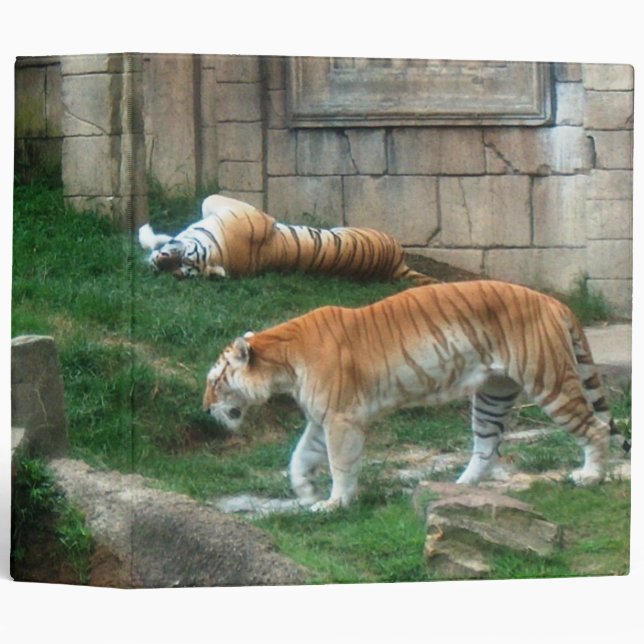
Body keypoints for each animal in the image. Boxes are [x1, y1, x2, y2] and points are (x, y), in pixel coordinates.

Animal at [202, 280, 629, 512]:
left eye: (217, 380)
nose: (205, 410)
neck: (283, 366)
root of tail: (555, 301)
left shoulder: (342, 418)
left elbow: (340, 465)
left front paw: (335, 504)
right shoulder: (322, 419)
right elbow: (299, 457)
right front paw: (306, 493)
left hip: (549, 381)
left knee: (594, 428)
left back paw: (590, 477)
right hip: (493, 395)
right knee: (487, 446)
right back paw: (459, 488)